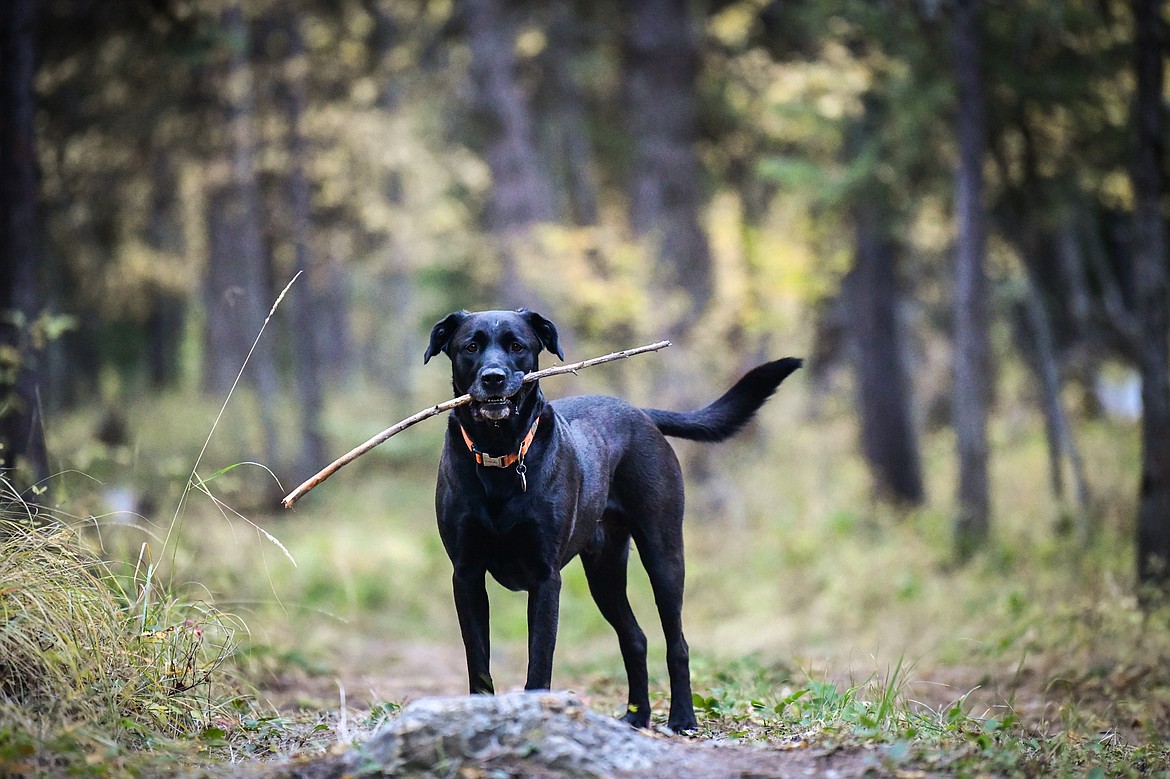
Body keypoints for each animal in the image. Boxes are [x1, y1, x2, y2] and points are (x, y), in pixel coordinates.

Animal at [425, 306, 800, 729]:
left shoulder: (545, 578)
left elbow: (540, 660)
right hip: (604, 572)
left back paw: (682, 718)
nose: (493, 378)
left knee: (677, 642)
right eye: (470, 347)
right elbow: (478, 662)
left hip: (663, 554)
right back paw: (637, 717)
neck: (499, 455)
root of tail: (640, 413)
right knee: (635, 638)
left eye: (517, 346)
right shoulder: (467, 576)